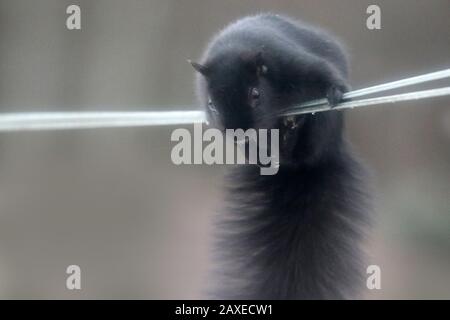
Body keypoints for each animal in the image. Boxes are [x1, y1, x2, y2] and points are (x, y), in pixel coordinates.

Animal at [189, 13, 370, 300]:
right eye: (210, 104)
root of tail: (302, 167)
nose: (238, 132)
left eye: (255, 94)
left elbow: (324, 73)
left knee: (311, 144)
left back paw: (292, 131)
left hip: (324, 130)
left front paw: (334, 91)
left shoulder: (293, 62)